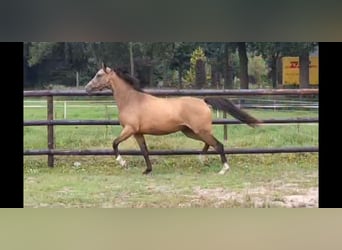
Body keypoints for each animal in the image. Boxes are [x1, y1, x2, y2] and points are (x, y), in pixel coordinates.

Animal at [84, 63, 260, 175]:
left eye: (99, 75)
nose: (86, 88)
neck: (131, 100)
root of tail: (203, 101)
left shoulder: (129, 129)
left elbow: (114, 143)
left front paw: (122, 163)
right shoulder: (138, 133)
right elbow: (144, 151)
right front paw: (147, 171)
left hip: (199, 130)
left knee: (218, 144)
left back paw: (223, 169)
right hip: (190, 131)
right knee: (209, 144)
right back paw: (202, 159)